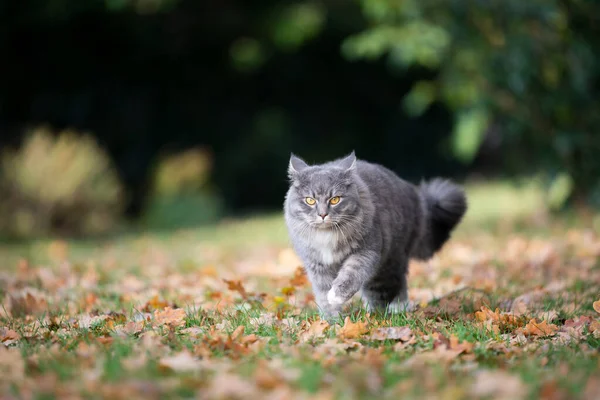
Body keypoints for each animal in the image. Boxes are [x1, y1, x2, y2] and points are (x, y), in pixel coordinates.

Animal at [284, 150, 466, 318]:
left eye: (335, 199)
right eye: (310, 200)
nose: (322, 214)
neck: (326, 235)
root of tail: (416, 197)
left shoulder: (366, 252)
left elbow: (350, 275)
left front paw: (336, 296)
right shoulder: (317, 266)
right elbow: (323, 296)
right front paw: (331, 322)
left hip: (389, 262)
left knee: (393, 287)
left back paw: (392, 310)